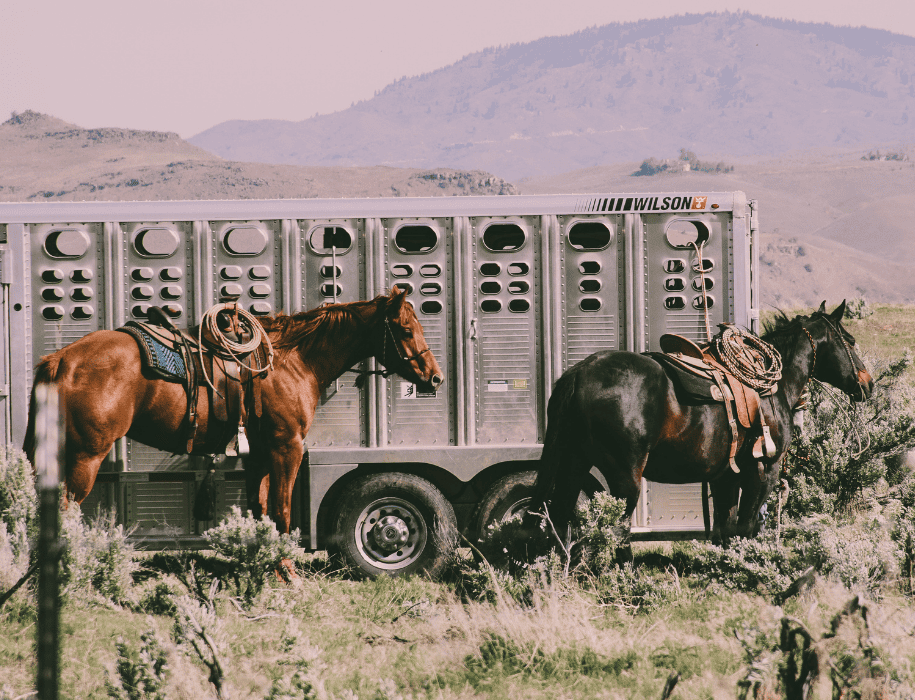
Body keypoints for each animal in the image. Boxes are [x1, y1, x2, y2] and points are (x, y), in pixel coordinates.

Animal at [23, 287, 443, 534]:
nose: (435, 377)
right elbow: (283, 510)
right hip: (85, 456)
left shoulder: (258, 454)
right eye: (406, 330)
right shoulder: (288, 447)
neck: (292, 362)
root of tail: (60, 360)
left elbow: (261, 509)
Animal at [528, 301, 873, 550]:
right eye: (851, 340)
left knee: (560, 521)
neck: (774, 390)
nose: (867, 383)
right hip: (624, 478)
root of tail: (581, 372)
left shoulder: (725, 477)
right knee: (614, 530)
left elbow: (726, 529)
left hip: (574, 464)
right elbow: (746, 527)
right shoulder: (763, 471)